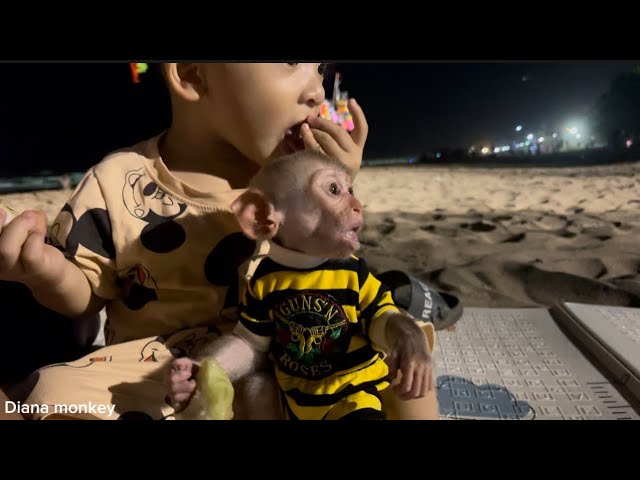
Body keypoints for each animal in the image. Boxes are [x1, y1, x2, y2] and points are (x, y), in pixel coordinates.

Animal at [169, 151, 436, 420]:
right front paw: (190, 376)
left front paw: (414, 352)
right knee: (258, 385)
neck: (305, 262)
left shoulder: (361, 274)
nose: (358, 206)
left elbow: (380, 317)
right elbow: (249, 344)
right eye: (334, 189)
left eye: (351, 190)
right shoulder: (254, 294)